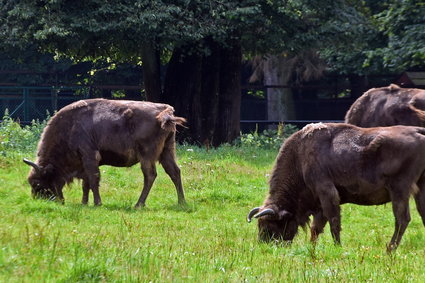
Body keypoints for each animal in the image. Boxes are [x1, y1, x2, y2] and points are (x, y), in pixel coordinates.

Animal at [23, 98, 186, 209]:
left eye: (38, 183)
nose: (40, 201)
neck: (70, 126)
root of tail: (165, 110)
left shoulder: (89, 156)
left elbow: (93, 179)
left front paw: (97, 203)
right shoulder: (84, 163)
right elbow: (86, 184)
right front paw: (84, 203)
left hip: (147, 156)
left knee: (150, 175)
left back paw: (138, 204)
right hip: (167, 151)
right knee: (174, 172)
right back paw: (181, 202)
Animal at [245, 123, 424, 252]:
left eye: (270, 225)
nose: (265, 246)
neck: (300, 159)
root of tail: (419, 132)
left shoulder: (327, 193)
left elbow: (333, 222)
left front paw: (337, 247)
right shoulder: (319, 204)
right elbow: (316, 227)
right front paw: (312, 248)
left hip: (399, 190)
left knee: (402, 219)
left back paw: (389, 249)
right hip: (419, 189)